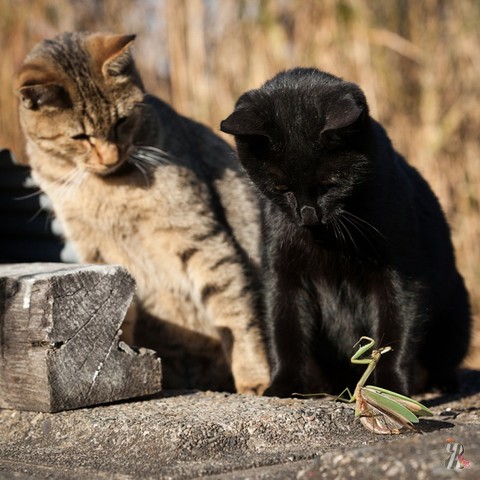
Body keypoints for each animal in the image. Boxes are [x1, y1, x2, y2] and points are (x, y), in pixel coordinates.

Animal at [15, 32, 270, 394]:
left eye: (121, 121)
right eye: (79, 136)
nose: (110, 156)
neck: (104, 187)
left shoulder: (200, 235)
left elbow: (235, 311)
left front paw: (254, 377)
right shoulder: (96, 250)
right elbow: (122, 312)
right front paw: (116, 359)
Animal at [220, 67, 468, 398]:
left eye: (330, 184)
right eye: (280, 187)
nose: (308, 214)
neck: (329, 240)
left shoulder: (402, 275)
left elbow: (395, 333)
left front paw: (391, 388)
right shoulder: (282, 273)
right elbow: (284, 332)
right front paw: (284, 385)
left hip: (456, 313)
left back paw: (439, 384)